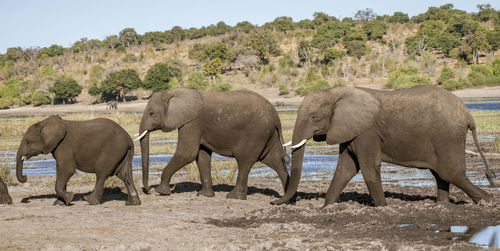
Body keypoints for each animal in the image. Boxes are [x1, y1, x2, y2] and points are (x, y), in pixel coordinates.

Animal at [137, 87, 290, 199]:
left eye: (151, 113)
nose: (147, 190)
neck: (173, 92)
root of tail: (276, 116)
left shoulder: (192, 124)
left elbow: (187, 154)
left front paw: (162, 192)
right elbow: (201, 156)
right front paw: (204, 195)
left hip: (256, 134)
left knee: (244, 162)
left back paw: (234, 197)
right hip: (268, 134)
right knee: (275, 161)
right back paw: (288, 199)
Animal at [274, 85, 496, 207]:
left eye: (314, 117)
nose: (273, 201)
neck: (340, 91)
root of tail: (469, 115)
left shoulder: (366, 132)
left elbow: (368, 167)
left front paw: (383, 207)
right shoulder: (350, 131)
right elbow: (345, 169)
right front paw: (326, 208)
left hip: (448, 137)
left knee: (451, 173)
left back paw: (487, 201)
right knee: (441, 174)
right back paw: (442, 205)